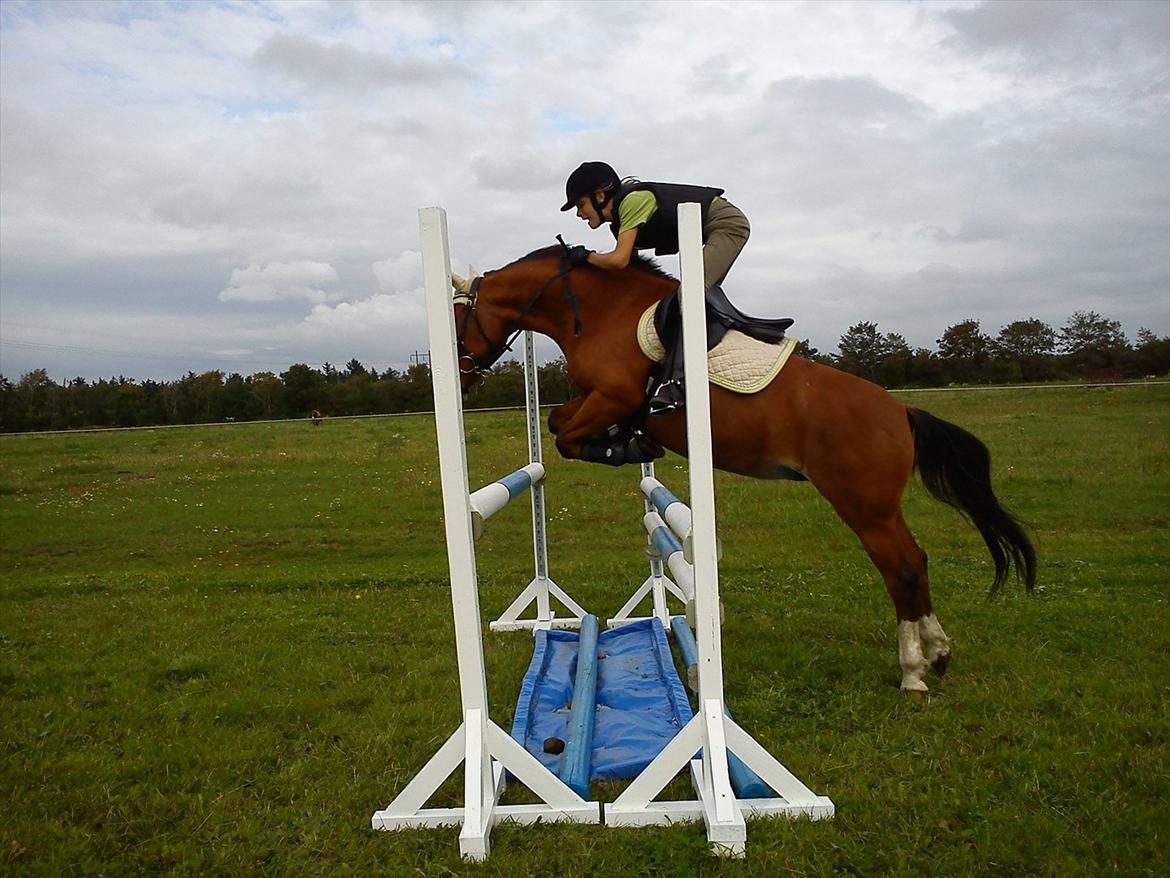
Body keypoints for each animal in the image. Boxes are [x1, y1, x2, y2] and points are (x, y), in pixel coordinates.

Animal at [446, 245, 1034, 693]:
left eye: (457, 319)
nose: (458, 377)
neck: (595, 311)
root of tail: (901, 412)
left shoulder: (612, 396)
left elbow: (566, 434)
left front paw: (619, 447)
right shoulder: (596, 400)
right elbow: (558, 423)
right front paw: (627, 444)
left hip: (864, 505)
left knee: (903, 568)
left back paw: (914, 671)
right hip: (878, 506)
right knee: (917, 562)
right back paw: (939, 652)